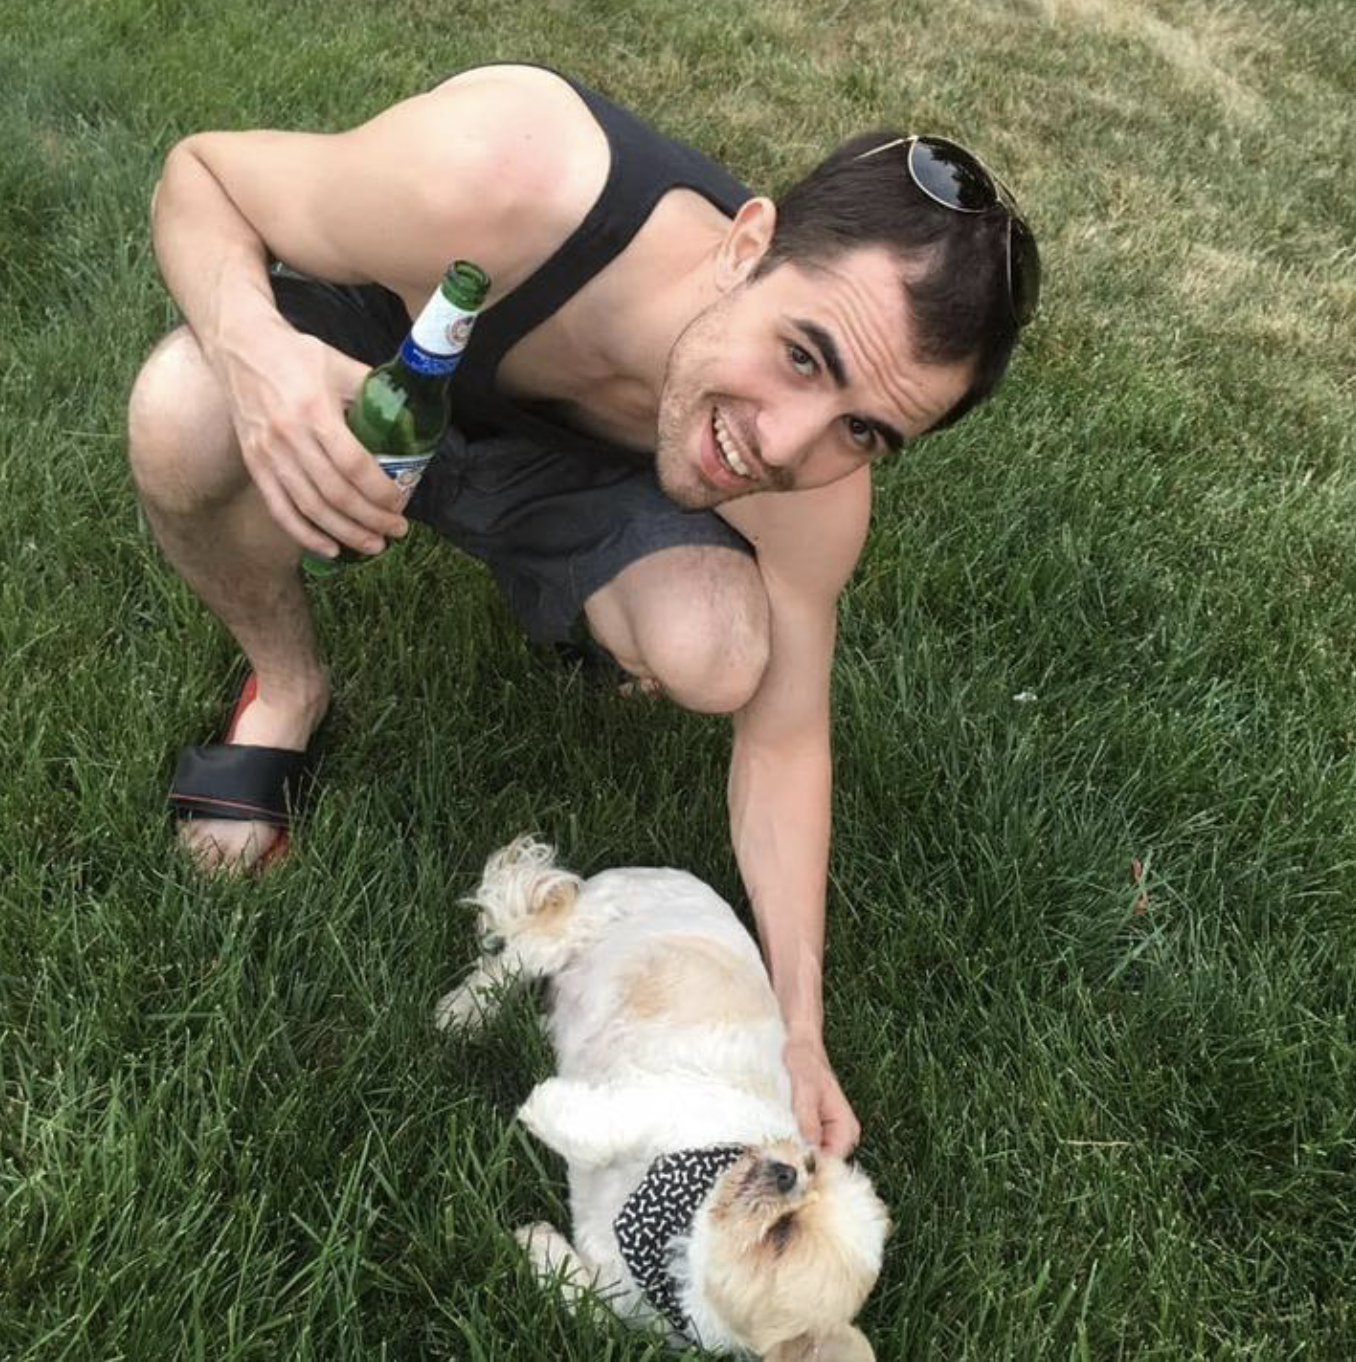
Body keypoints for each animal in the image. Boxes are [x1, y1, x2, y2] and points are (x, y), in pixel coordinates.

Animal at [435, 837, 890, 1359]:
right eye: (811, 1167)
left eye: (782, 1237)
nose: (785, 1170)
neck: (678, 1234)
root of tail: (656, 874)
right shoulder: (674, 1101)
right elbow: (608, 1126)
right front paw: (546, 1107)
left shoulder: (615, 1307)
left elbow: (574, 1292)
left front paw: (537, 1242)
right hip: (585, 926)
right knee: (520, 954)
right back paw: (464, 1012)